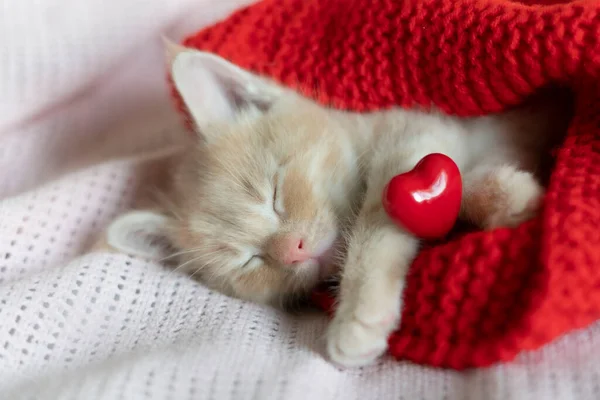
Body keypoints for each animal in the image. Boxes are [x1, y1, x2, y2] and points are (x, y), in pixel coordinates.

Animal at [103, 45, 568, 368]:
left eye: (275, 195)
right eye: (248, 260)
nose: (294, 250)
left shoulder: (419, 133)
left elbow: (379, 219)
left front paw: (358, 315)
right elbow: (456, 180)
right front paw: (509, 195)